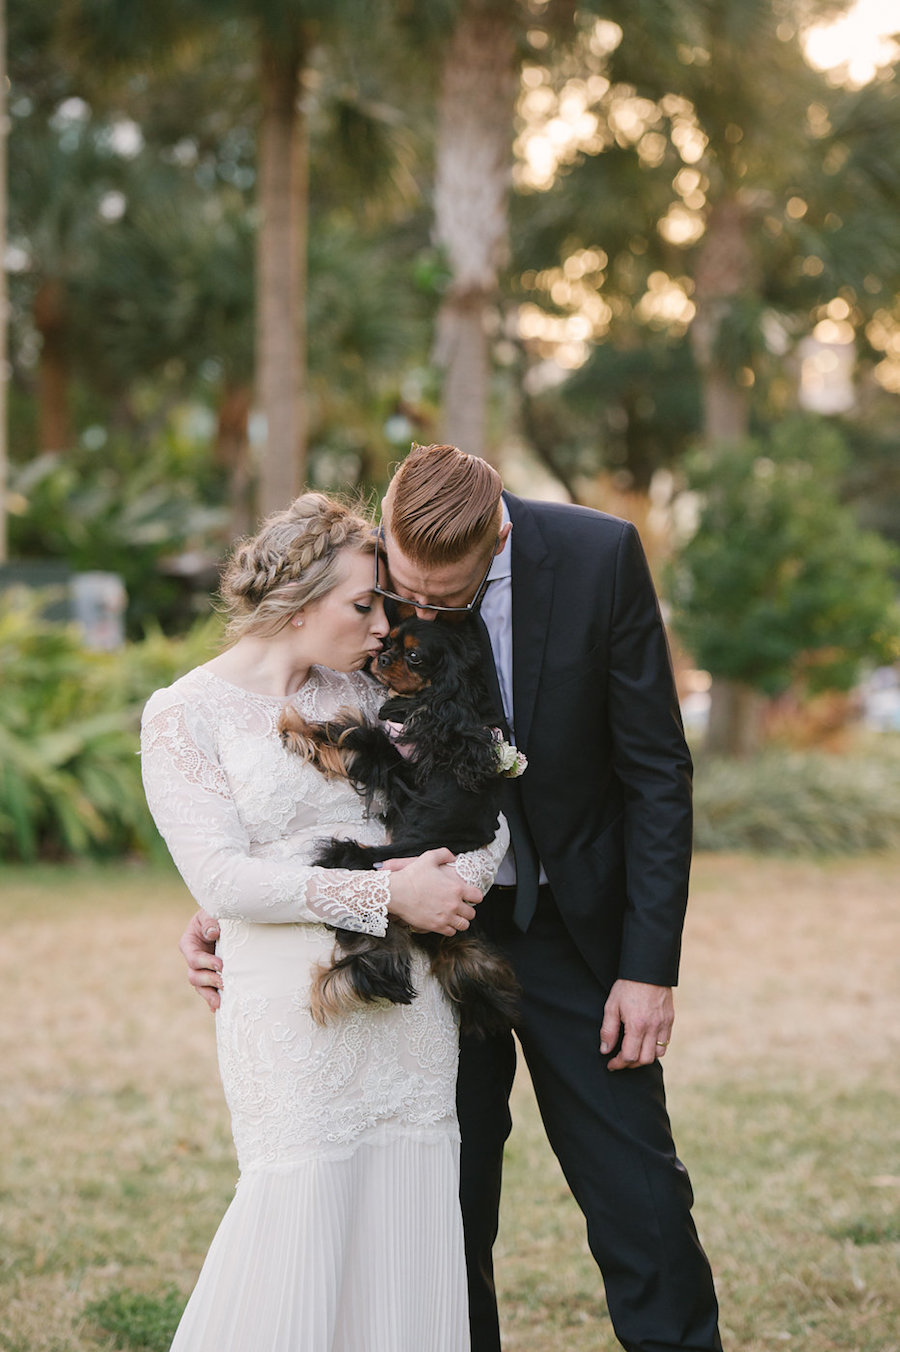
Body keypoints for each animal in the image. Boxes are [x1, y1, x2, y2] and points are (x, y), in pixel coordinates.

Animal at [278, 619, 518, 1038]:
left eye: (415, 655)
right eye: (387, 642)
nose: (382, 658)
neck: (439, 700)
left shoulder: (403, 769)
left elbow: (361, 737)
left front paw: (298, 727)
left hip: (358, 866)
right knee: (385, 968)